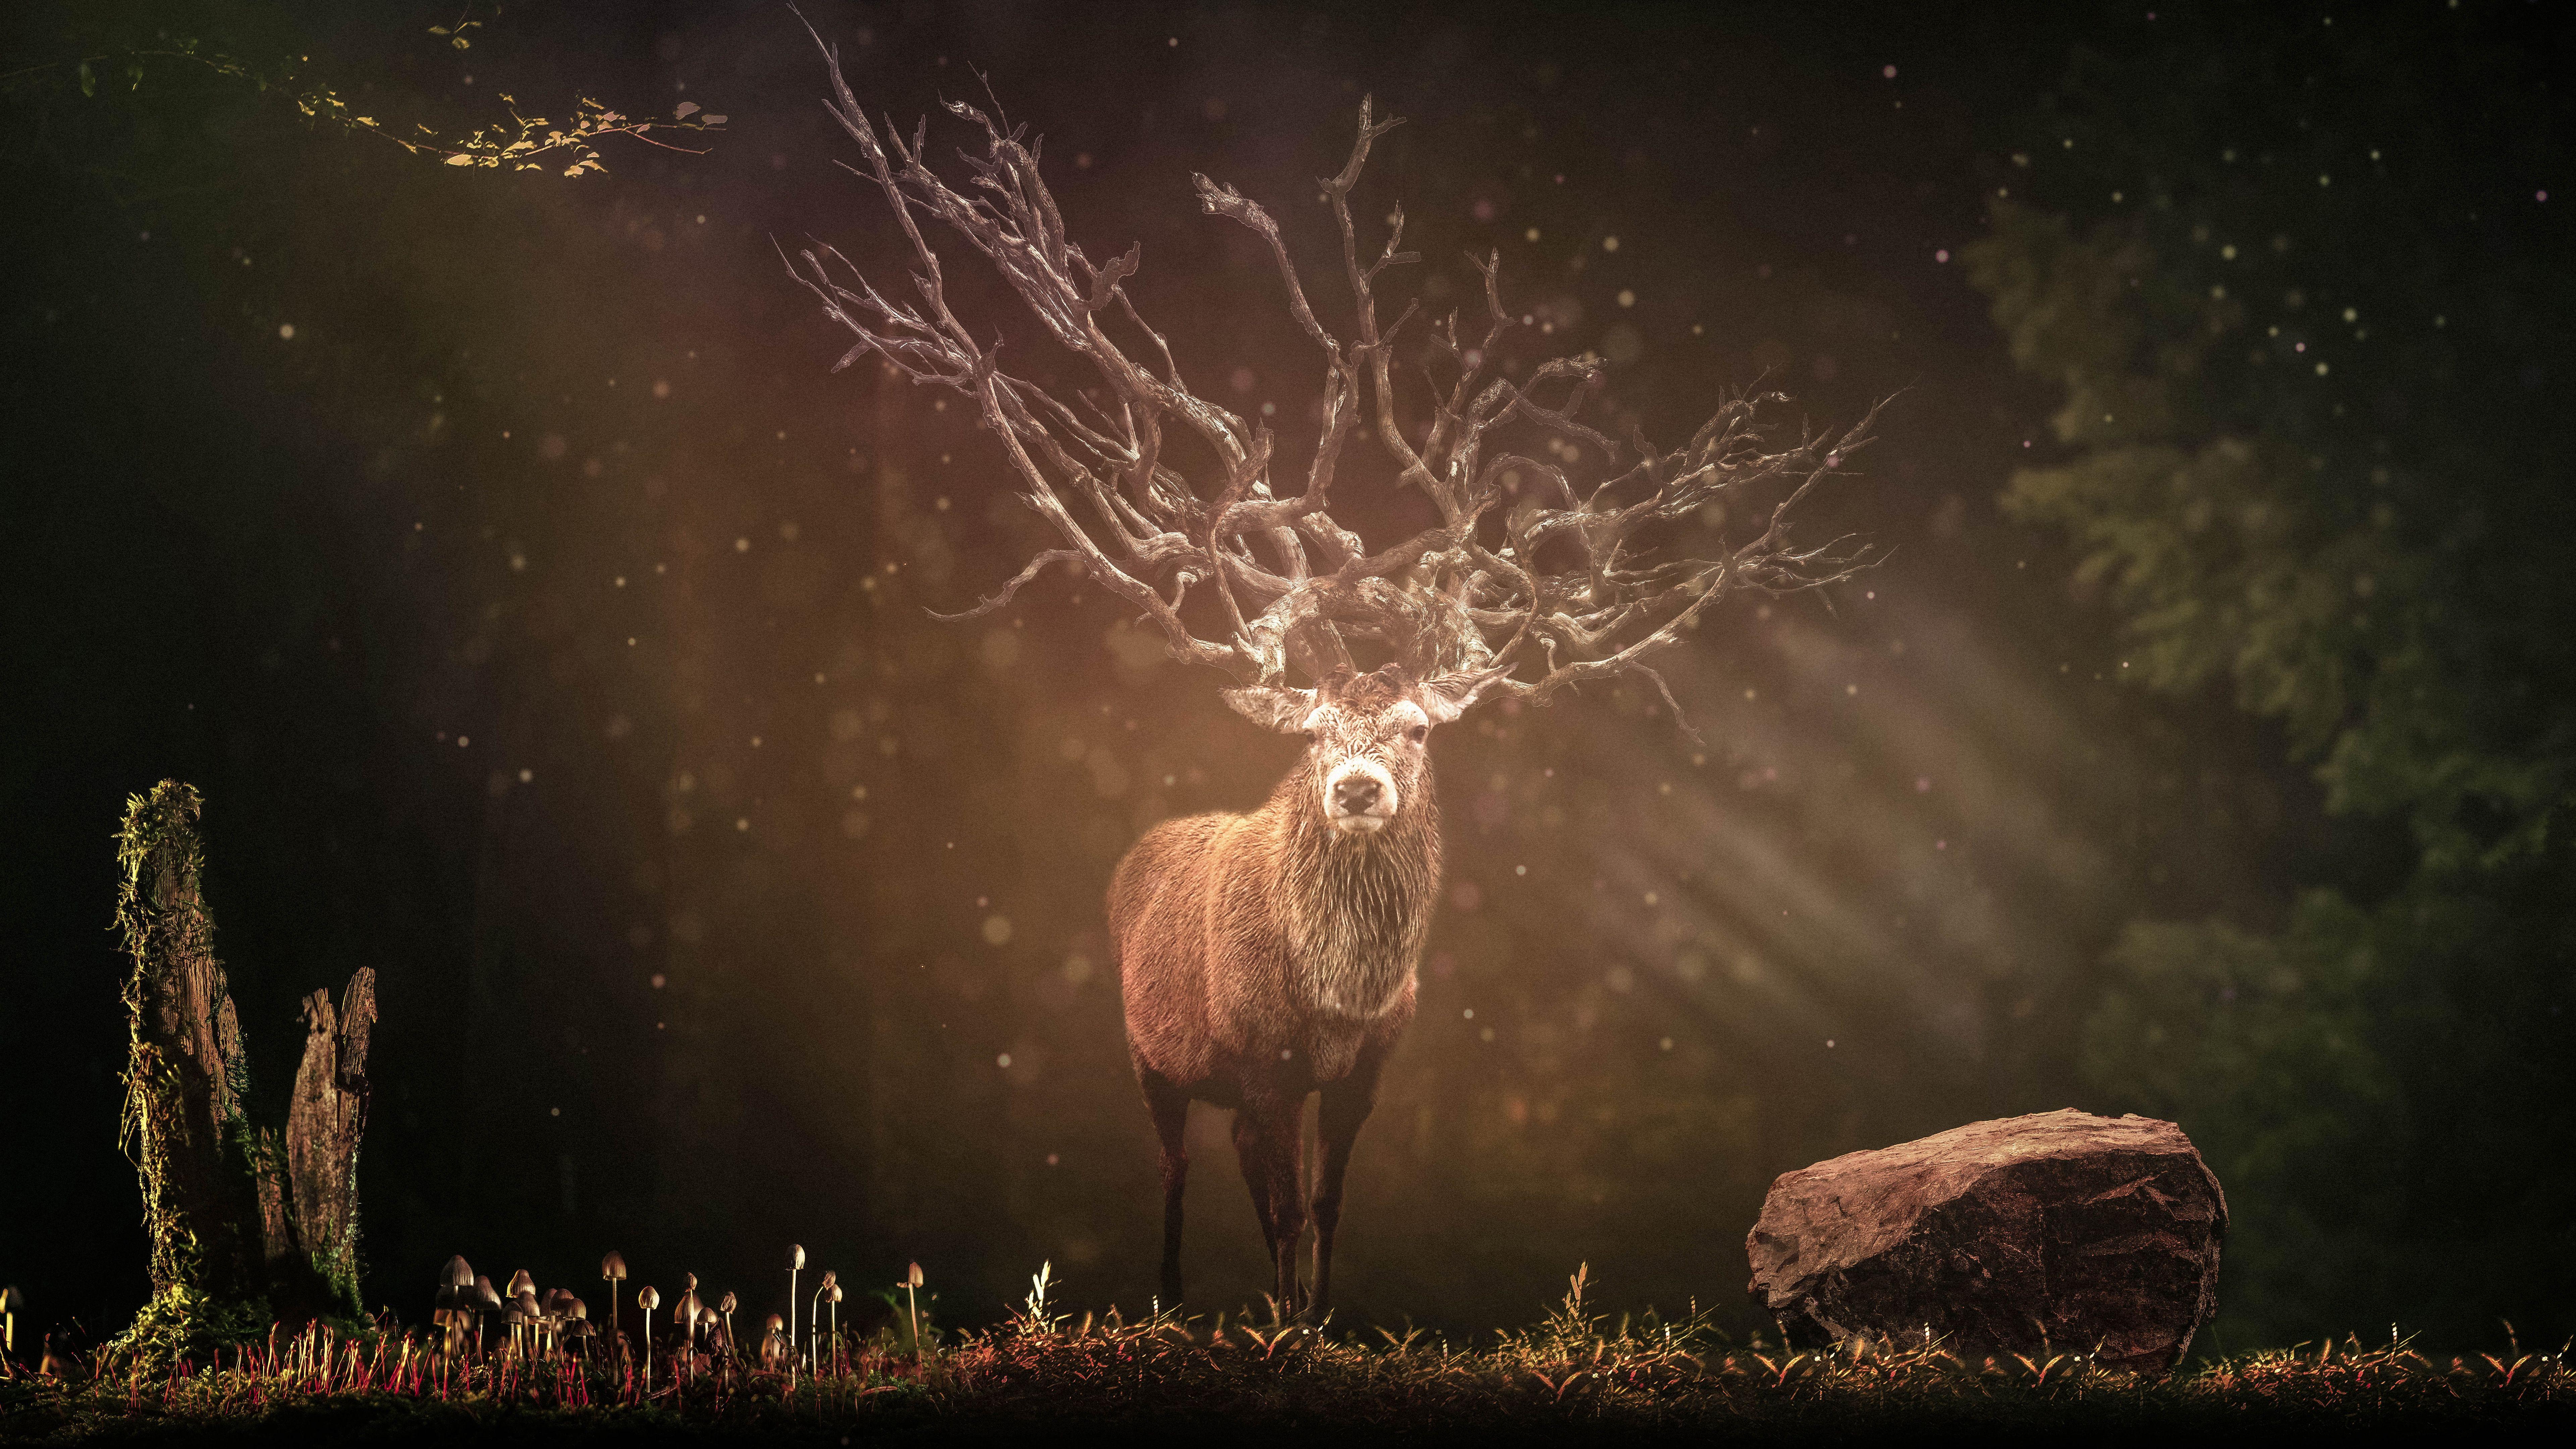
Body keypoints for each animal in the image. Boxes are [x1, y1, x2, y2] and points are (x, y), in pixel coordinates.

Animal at [788, 21, 1881, 1319]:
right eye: (1314, 734)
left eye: (1414, 726)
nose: (1359, 787)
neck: (1337, 991)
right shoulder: (1256, 1059)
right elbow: (1268, 1205)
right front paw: (1276, 1326)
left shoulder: (1364, 1069)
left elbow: (1325, 1202)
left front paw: (1320, 1317)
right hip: (1150, 1053)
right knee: (1174, 1168)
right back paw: (1169, 1299)